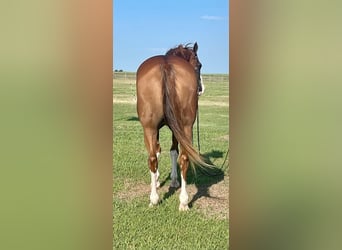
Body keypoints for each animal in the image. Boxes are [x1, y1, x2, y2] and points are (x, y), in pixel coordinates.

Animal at [137, 43, 207, 211]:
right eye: (199, 65)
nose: (201, 88)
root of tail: (166, 64)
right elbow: (170, 151)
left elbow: (163, 151)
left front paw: (161, 180)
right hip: (185, 127)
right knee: (183, 158)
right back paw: (183, 202)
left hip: (150, 128)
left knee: (153, 158)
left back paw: (156, 199)